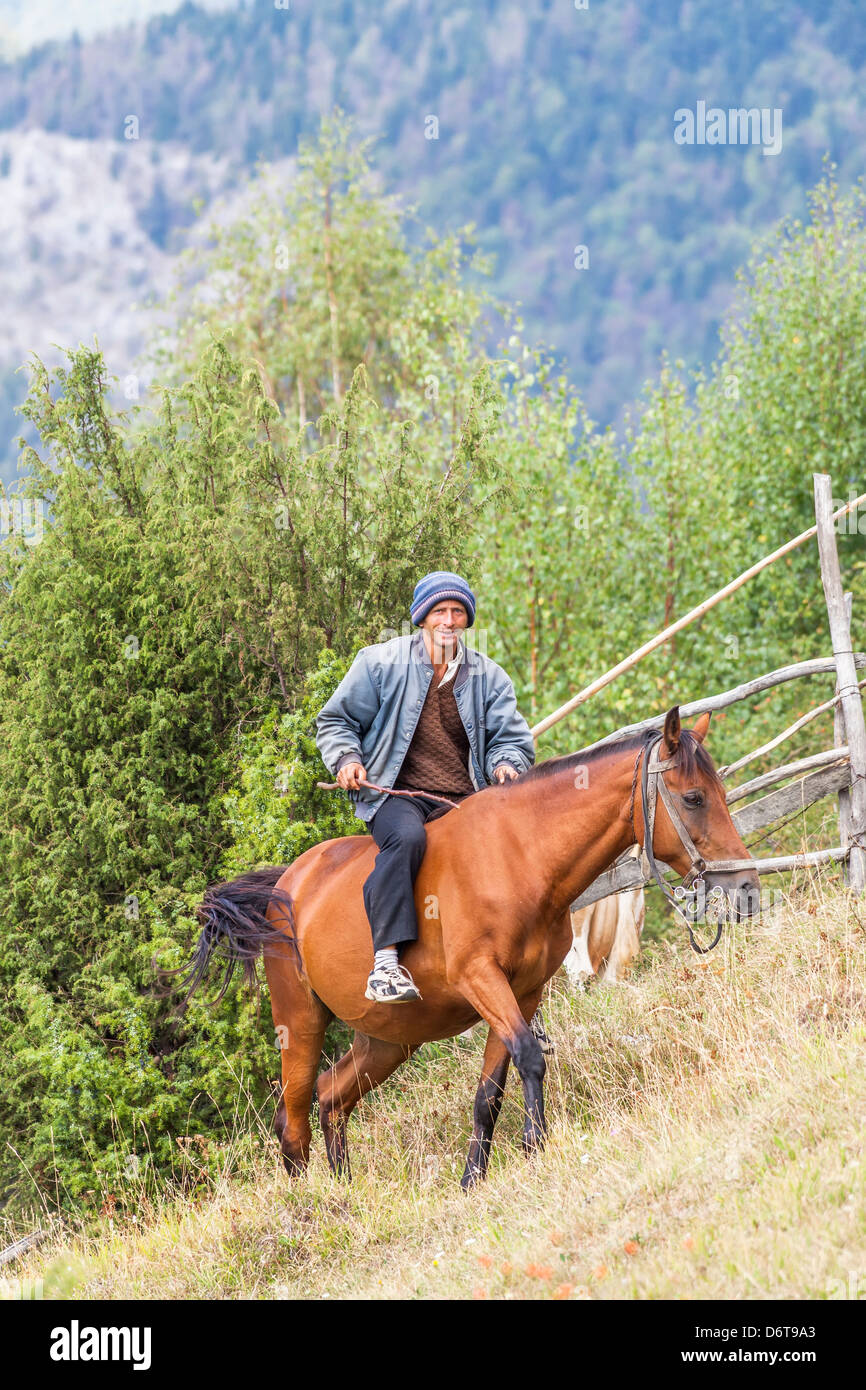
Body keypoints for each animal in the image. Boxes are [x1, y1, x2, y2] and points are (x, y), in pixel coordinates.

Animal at [176, 707, 760, 1190]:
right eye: (693, 798)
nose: (747, 889)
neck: (519, 857)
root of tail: (286, 886)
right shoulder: (483, 980)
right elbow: (530, 1058)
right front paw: (534, 1148)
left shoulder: (522, 992)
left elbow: (490, 1092)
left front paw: (474, 1178)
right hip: (299, 1024)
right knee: (293, 1118)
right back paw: (312, 1208)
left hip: (386, 1040)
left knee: (331, 1099)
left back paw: (347, 1193)